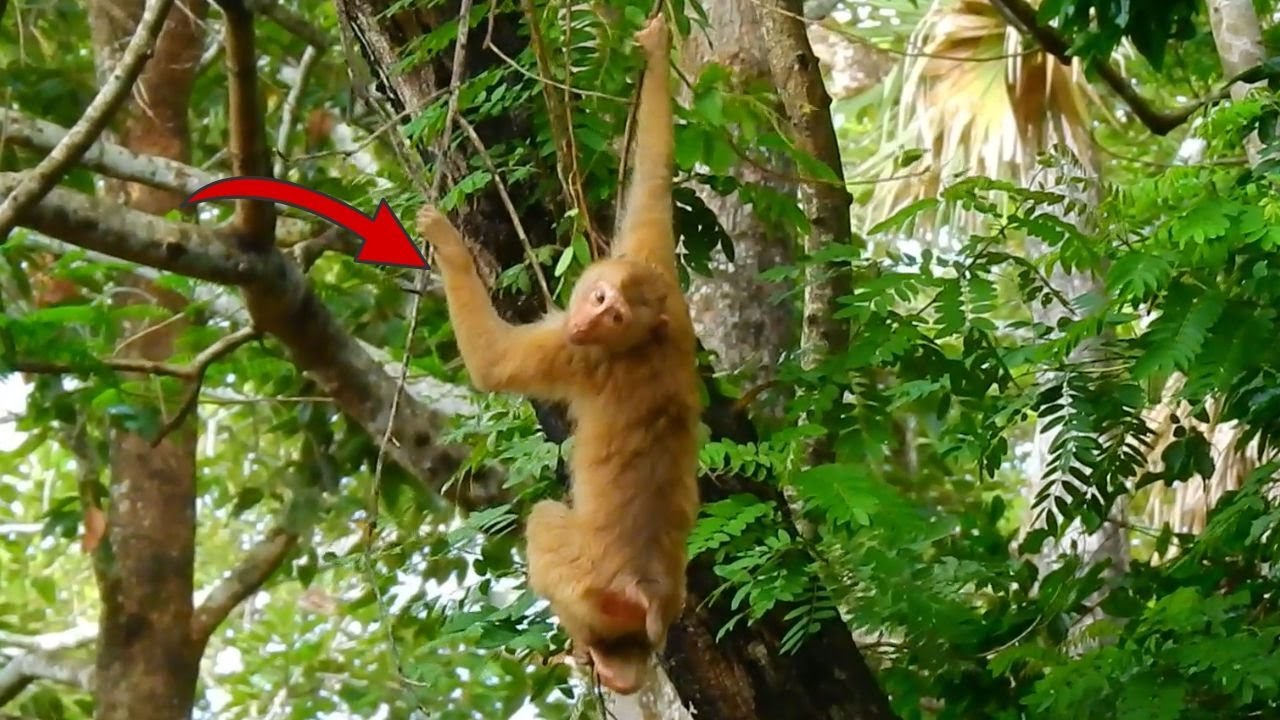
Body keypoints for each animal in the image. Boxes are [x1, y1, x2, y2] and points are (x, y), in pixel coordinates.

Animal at [415, 13, 698, 695]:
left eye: (612, 314)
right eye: (600, 296)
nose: (588, 319)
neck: (642, 337)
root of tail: (648, 591)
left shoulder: (581, 356)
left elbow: (493, 366)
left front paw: (448, 243)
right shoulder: (657, 275)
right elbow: (653, 182)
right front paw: (657, 52)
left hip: (586, 575)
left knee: (545, 525)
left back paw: (599, 654)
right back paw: (625, 663)